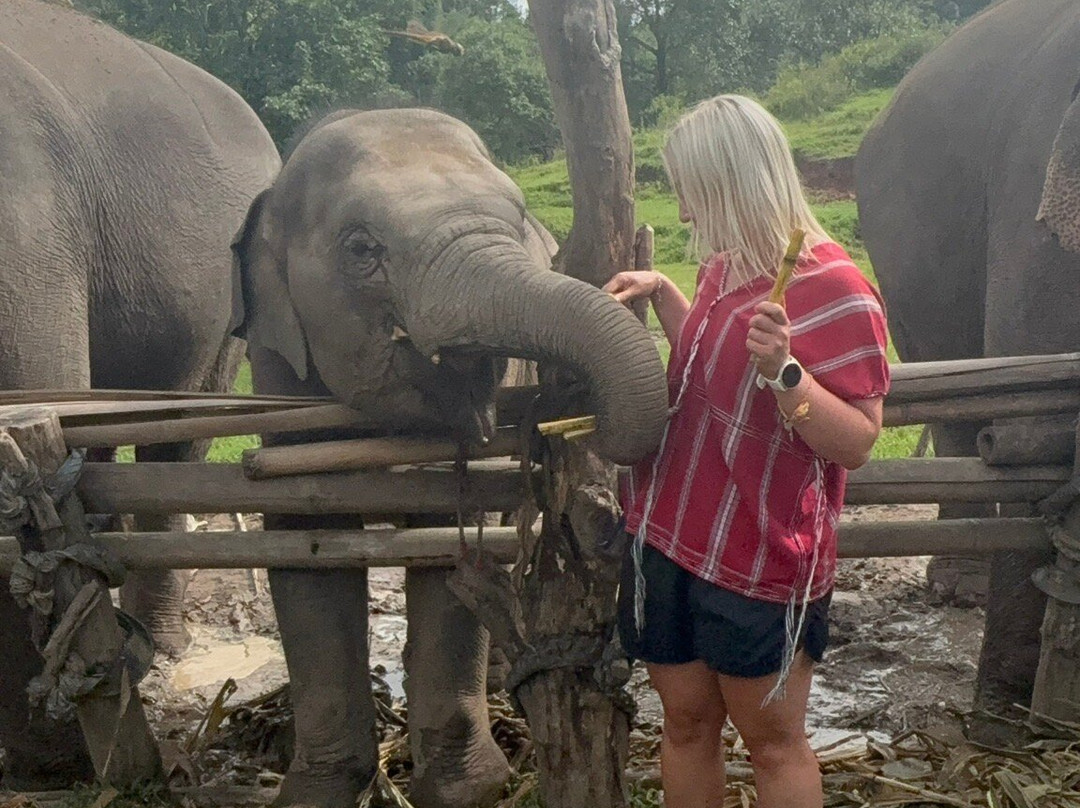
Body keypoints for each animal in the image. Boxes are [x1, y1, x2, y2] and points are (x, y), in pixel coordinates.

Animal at [230, 107, 669, 808]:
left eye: (518, 217)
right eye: (361, 250)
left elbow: (448, 535)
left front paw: (468, 788)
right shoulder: (276, 371)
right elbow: (305, 538)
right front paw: (317, 790)